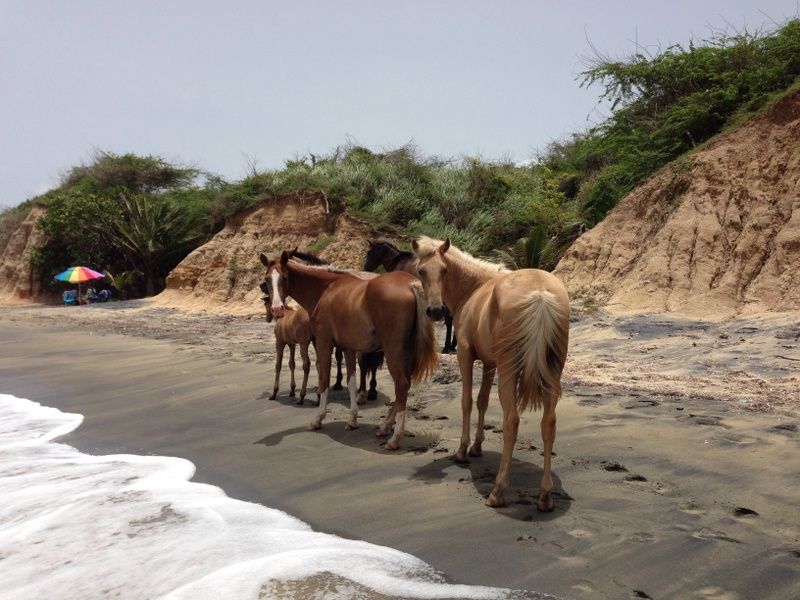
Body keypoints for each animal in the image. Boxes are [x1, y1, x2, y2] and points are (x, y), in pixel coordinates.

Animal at [260, 250, 438, 450]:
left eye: (284, 277)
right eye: (267, 278)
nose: (276, 309)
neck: (325, 289)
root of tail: (411, 284)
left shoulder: (323, 343)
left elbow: (323, 379)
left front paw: (318, 419)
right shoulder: (348, 348)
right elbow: (352, 380)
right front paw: (352, 420)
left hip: (394, 350)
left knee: (401, 384)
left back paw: (394, 438)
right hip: (406, 351)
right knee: (404, 385)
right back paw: (384, 426)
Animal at [412, 236, 568, 510]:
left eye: (444, 270)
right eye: (421, 271)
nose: (435, 311)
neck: (474, 289)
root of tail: (540, 294)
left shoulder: (465, 356)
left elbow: (467, 401)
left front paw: (463, 450)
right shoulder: (489, 364)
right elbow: (483, 401)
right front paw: (476, 446)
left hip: (509, 371)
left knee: (511, 421)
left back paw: (498, 490)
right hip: (551, 374)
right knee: (548, 423)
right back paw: (545, 495)